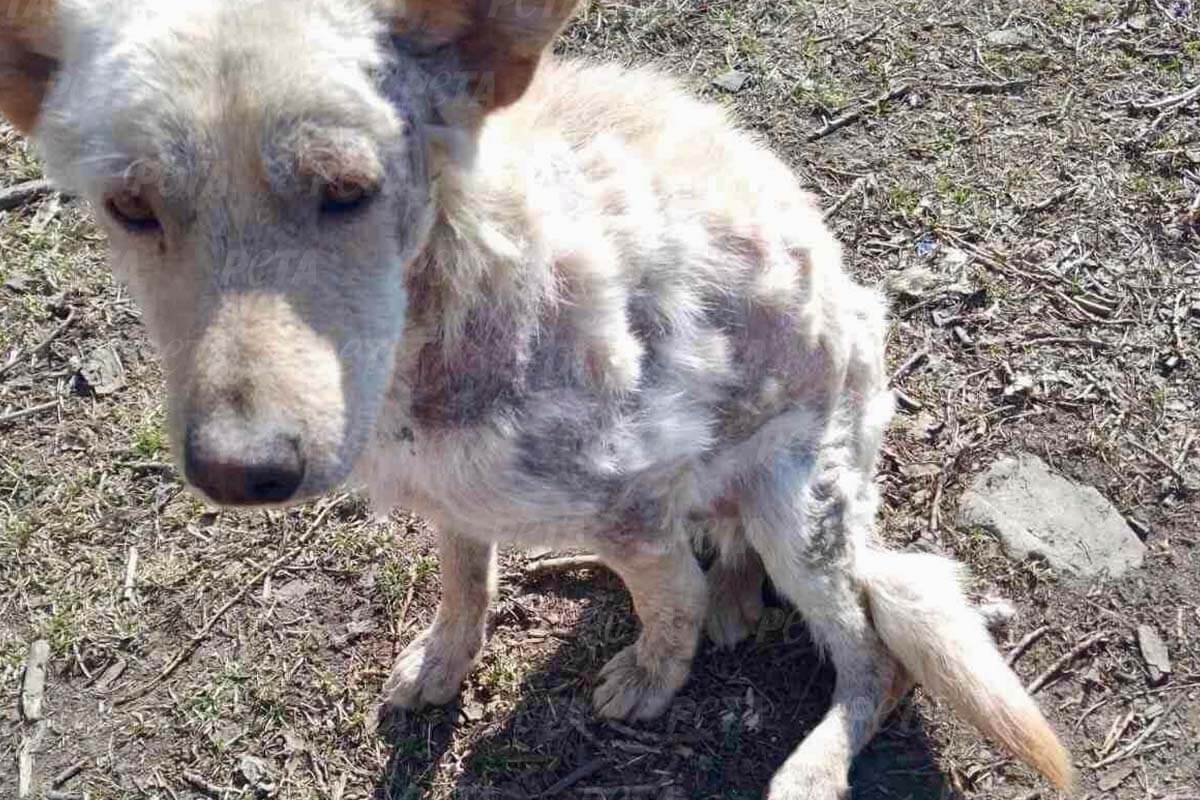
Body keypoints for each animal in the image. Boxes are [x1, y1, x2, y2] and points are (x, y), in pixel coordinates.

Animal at [0, 3, 1070, 796]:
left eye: (347, 190)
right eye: (130, 208)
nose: (238, 471)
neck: (445, 317)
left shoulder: (633, 504)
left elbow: (667, 604)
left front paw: (650, 678)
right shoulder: (455, 499)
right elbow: (466, 581)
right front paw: (444, 663)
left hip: (797, 504)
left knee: (872, 653)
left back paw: (808, 758)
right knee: (738, 564)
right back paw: (711, 592)